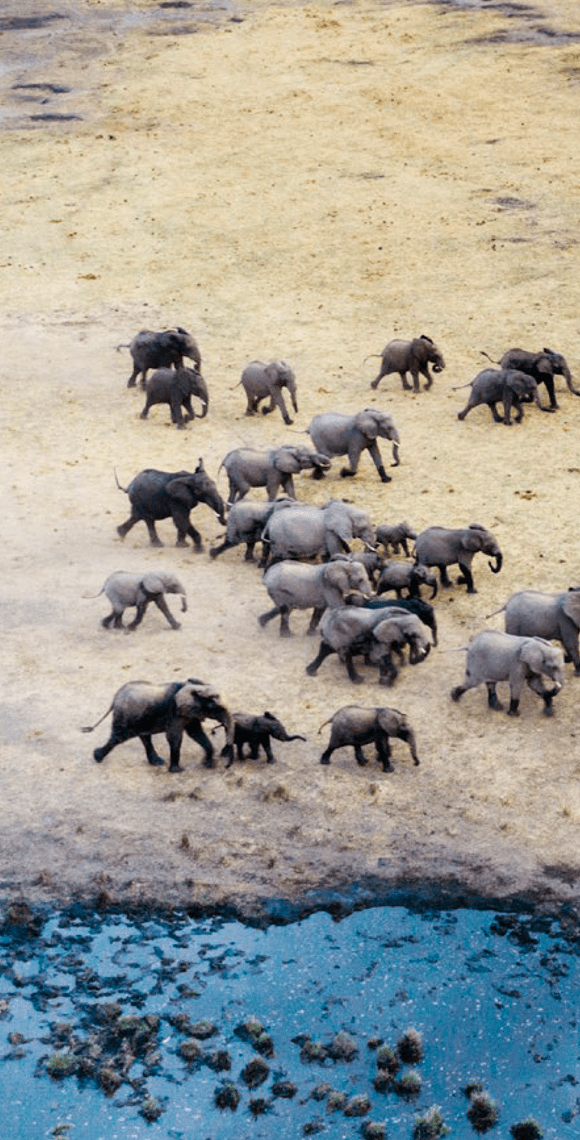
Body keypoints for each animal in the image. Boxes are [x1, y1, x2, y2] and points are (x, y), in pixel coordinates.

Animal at [82, 678, 233, 770]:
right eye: (215, 707)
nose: (224, 763)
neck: (194, 686)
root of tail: (115, 698)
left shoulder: (190, 713)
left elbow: (196, 733)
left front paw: (208, 765)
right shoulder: (175, 713)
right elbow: (174, 737)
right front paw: (178, 771)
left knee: (144, 737)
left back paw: (157, 763)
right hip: (125, 716)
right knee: (119, 738)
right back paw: (97, 757)